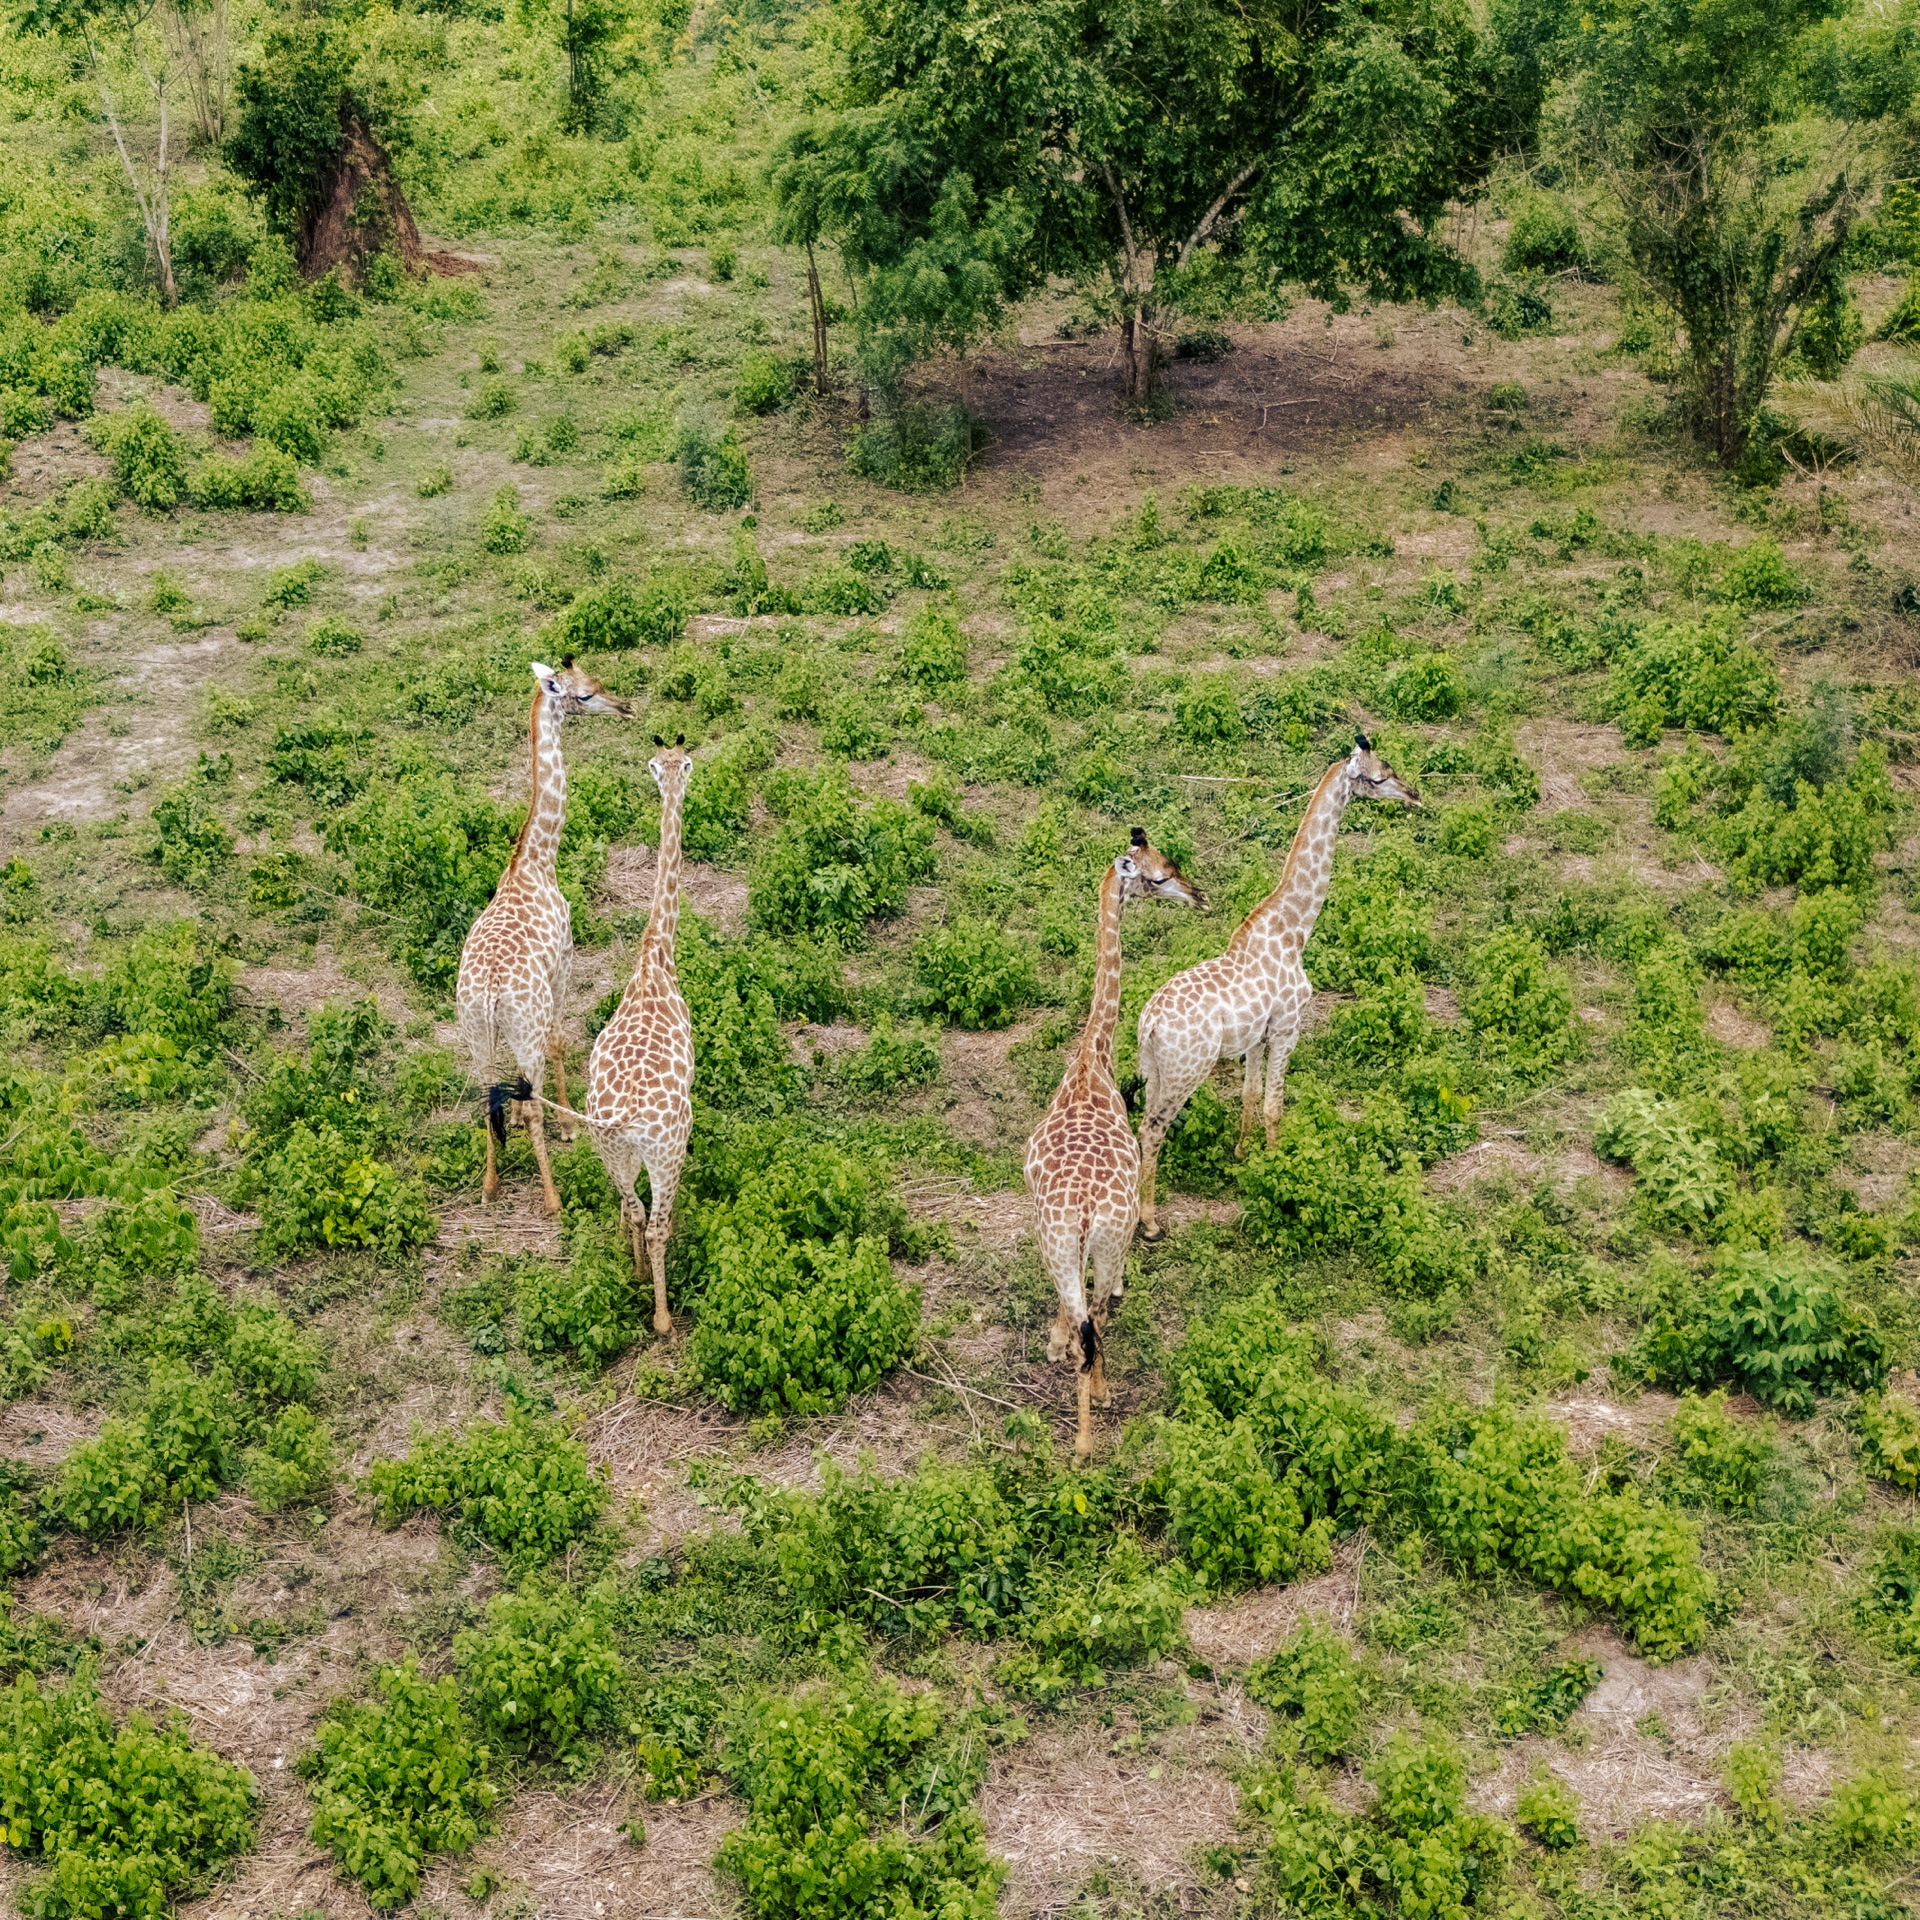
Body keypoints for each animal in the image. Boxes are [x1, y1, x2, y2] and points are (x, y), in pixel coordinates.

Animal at [457, 657, 633, 1217]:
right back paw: (554, 1199)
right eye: (585, 694)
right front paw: (570, 1125)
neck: (536, 860)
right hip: (521, 1021)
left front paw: (517, 1120)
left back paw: (490, 1187)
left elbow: (512, 1091)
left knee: (484, 1097)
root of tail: (491, 995)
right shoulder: (565, 961)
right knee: (530, 1091)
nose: (625, 707)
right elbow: (559, 1040)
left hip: (476, 1032)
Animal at [1026, 829, 1203, 1456]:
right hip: (1099, 1242)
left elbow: (1066, 1313)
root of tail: (1082, 1210)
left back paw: (1081, 1439)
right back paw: (1093, 1419)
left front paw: (1051, 1344)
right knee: (1098, 1317)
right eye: (1159, 873)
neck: (1090, 1058)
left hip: (1064, 1243)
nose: (1198, 896)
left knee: (1088, 1318)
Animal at [1133, 734, 1419, 1241]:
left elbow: (1250, 1097)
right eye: (1380, 775)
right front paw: (1276, 1163)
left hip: (1152, 1070)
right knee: (1153, 1129)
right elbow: (1274, 1105)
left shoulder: (1256, 1037)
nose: (1414, 795)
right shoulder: (1289, 1025)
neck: (1294, 927)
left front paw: (1243, 1156)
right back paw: (1149, 1223)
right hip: (1186, 1070)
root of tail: (1148, 1024)